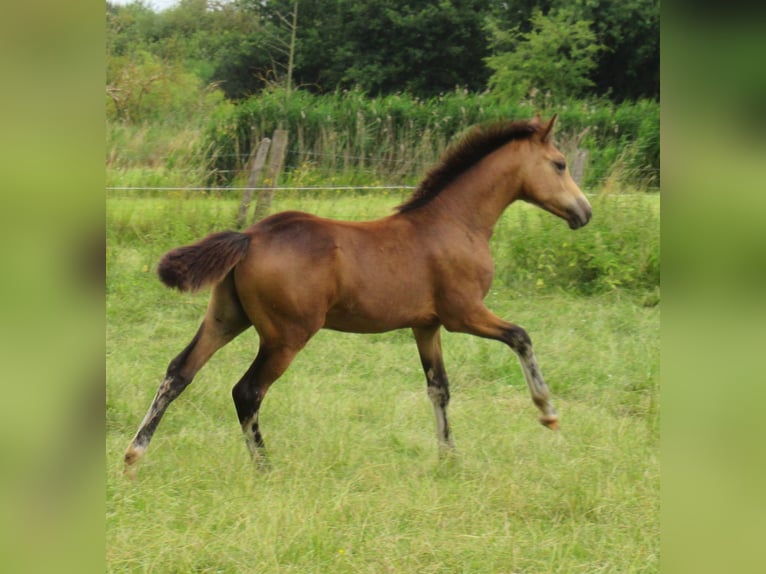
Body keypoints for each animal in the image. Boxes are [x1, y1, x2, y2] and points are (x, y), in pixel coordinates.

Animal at [126, 116, 592, 472]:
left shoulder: (427, 326)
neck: (456, 223)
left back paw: (134, 455)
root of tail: (250, 236)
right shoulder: (464, 314)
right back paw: (265, 467)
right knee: (247, 391)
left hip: (226, 317)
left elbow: (438, 388)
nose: (584, 212)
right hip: (285, 336)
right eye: (559, 163)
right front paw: (547, 411)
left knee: (179, 371)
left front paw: (449, 458)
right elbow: (521, 336)